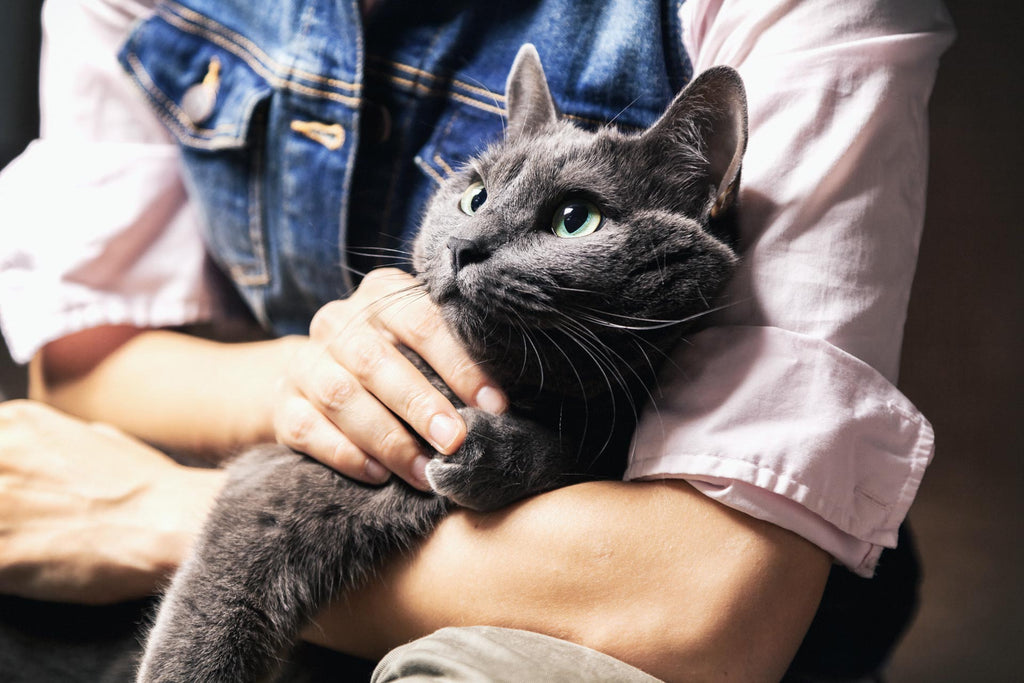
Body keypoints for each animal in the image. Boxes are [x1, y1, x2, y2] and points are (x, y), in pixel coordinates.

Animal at [134, 45, 745, 679]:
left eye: (575, 219)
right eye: (474, 197)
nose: (463, 245)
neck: (523, 387)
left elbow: (576, 448)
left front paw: (480, 452)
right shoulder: (277, 480)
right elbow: (211, 614)